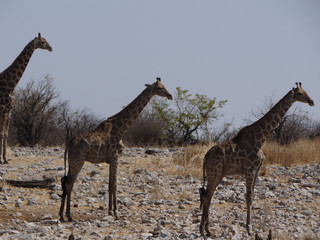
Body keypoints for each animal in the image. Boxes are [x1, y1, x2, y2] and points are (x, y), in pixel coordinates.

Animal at [0, 32, 52, 164]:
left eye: (46, 40)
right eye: (43, 41)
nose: (51, 48)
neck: (11, 86)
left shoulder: (9, 112)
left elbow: (6, 134)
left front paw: (5, 159)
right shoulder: (3, 112)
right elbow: (1, 133)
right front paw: (1, 160)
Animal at [58, 77, 172, 221]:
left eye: (164, 85)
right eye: (159, 88)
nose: (170, 96)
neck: (121, 128)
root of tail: (68, 144)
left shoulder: (111, 159)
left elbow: (110, 184)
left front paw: (110, 211)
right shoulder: (115, 157)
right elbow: (115, 184)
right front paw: (116, 212)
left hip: (72, 161)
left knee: (65, 182)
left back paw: (61, 215)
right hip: (78, 161)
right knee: (69, 183)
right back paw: (68, 215)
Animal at [199, 83, 314, 236]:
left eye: (306, 91)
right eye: (300, 93)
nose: (311, 101)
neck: (261, 139)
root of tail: (205, 157)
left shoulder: (257, 170)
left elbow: (253, 196)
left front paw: (250, 226)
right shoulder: (250, 169)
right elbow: (248, 197)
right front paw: (249, 228)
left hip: (218, 174)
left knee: (208, 195)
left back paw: (206, 229)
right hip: (214, 173)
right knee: (206, 196)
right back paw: (204, 230)